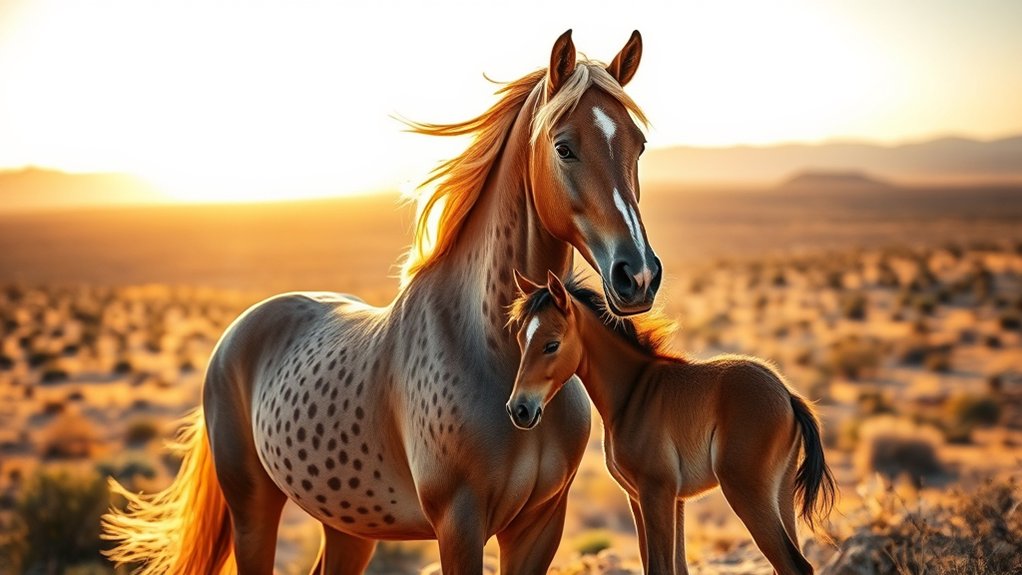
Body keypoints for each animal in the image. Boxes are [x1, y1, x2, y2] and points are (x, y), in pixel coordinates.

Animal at [102, 30, 663, 575]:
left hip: (348, 523)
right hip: (253, 508)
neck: (496, 352)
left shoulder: (541, 526)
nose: (637, 275)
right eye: (564, 147)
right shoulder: (459, 524)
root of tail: (236, 334)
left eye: (639, 146)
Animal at [506, 271, 836, 575]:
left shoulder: (656, 493)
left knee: (793, 564)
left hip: (746, 491)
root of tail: (788, 395)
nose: (519, 409)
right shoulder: (650, 499)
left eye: (551, 345)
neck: (633, 391)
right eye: (521, 339)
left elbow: (659, 567)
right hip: (779, 494)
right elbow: (674, 567)